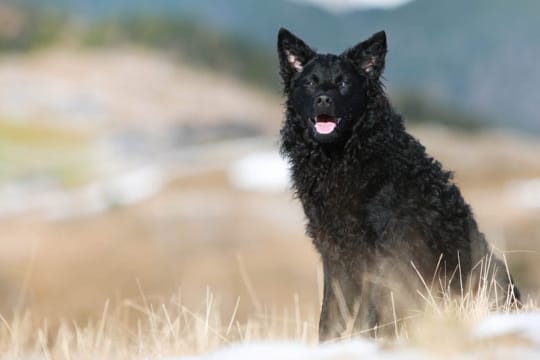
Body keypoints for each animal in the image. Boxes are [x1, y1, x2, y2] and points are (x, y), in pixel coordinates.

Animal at [276, 27, 520, 340]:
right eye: (310, 83)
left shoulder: (384, 252)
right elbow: (329, 317)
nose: (323, 99)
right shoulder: (333, 252)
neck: (344, 156)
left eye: (343, 83)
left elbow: (368, 315)